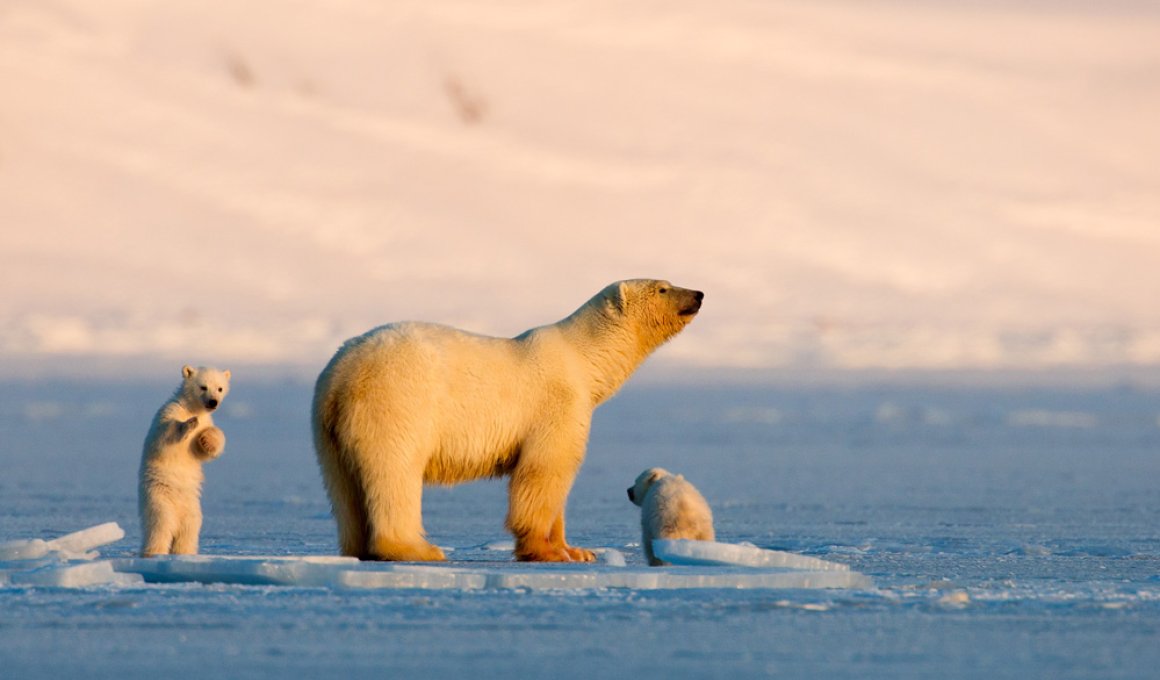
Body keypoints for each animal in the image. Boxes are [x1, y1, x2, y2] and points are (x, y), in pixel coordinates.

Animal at [313, 278, 700, 559]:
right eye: (663, 287)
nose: (698, 294)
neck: (583, 359)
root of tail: (342, 373)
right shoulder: (557, 404)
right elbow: (544, 472)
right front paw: (548, 552)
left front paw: (578, 550)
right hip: (397, 403)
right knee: (395, 472)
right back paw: (417, 549)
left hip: (327, 428)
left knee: (344, 489)